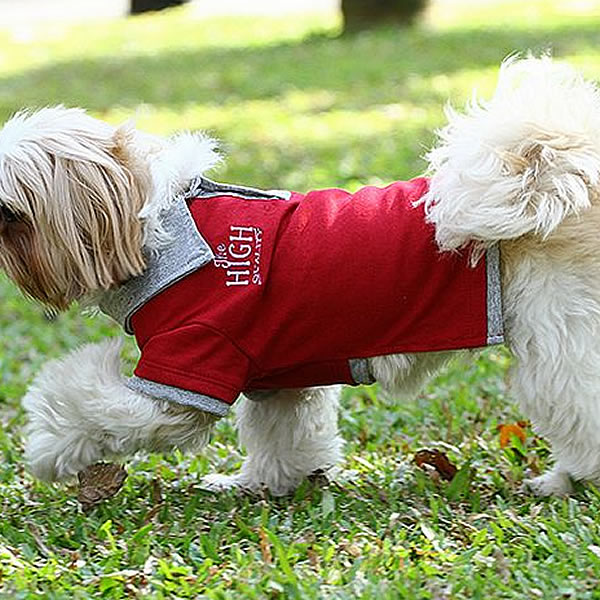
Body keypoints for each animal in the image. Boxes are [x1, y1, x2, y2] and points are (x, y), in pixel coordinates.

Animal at [1, 55, 600, 496]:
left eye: (9, 213)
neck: (160, 227)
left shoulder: (191, 367)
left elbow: (86, 404)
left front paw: (48, 452)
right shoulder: (278, 376)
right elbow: (285, 435)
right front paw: (261, 484)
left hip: (559, 344)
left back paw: (564, 481)